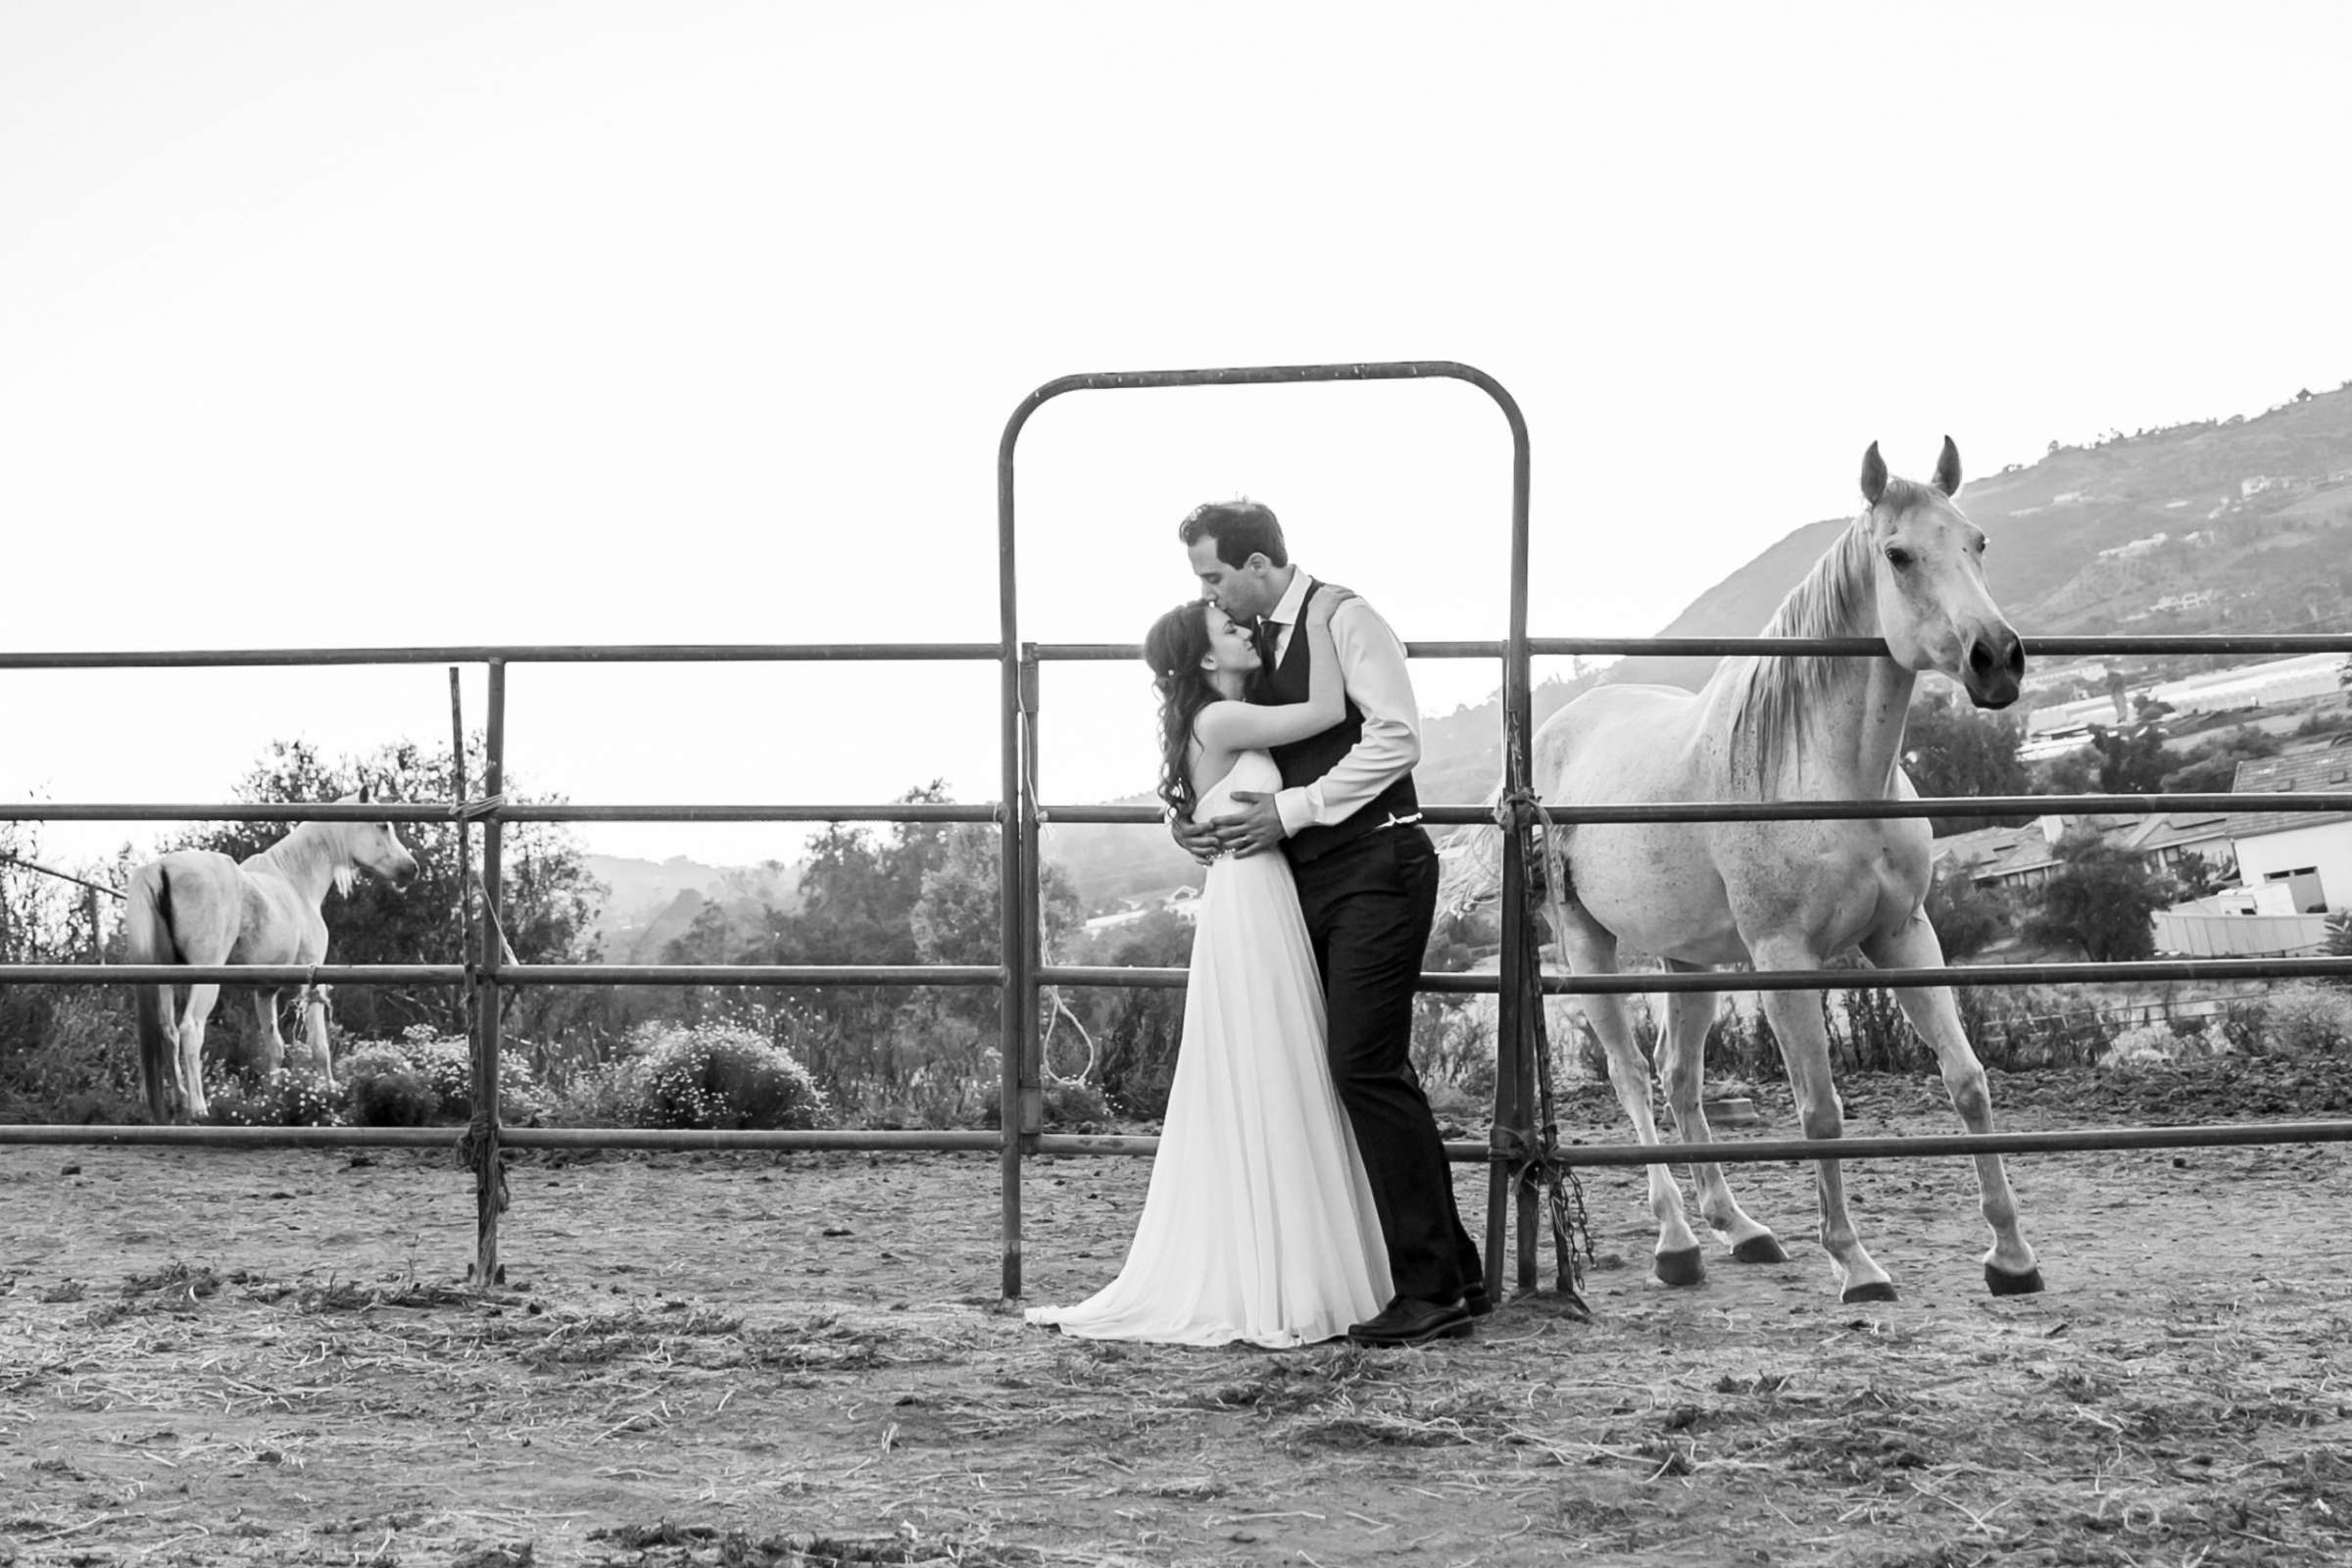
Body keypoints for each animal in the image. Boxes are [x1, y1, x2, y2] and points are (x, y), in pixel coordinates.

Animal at [123, 804, 420, 1123]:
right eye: (383, 825)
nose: (411, 868)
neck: (295, 882)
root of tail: (160, 867)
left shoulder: (265, 990)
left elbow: (274, 1046)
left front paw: (275, 1100)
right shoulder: (310, 980)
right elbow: (319, 1046)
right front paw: (327, 1096)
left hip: (164, 977)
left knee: (168, 1031)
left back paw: (179, 1100)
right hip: (204, 979)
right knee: (190, 1028)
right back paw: (198, 1108)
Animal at [1467, 444, 2041, 1316]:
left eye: (1976, 542)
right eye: (1898, 554)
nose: (1997, 659)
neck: (1826, 772)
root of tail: (1547, 743)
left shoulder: (1905, 934)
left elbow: (1967, 1080)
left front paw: (2010, 1256)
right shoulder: (1783, 959)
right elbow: (1821, 1110)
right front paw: (1856, 1265)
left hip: (1692, 961)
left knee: (1680, 1075)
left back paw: (1739, 1228)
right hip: (1588, 947)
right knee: (1632, 1076)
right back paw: (1677, 1243)